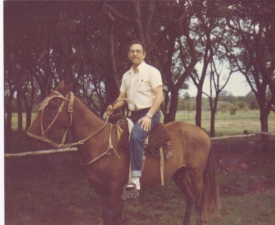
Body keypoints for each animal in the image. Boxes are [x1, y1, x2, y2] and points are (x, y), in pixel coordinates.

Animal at [27, 81, 221, 225]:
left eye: (53, 105)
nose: (31, 134)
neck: (101, 143)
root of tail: (202, 132)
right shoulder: (100, 190)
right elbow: (106, 217)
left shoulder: (115, 190)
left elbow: (115, 218)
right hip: (179, 174)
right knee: (190, 198)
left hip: (196, 174)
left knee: (198, 202)